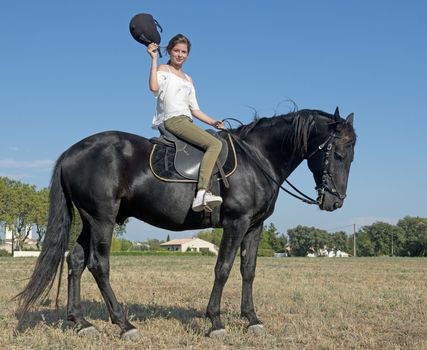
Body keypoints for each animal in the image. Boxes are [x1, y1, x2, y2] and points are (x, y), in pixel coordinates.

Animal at [15, 107, 358, 340]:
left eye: (351, 155)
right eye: (338, 154)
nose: (335, 202)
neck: (258, 159)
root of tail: (72, 152)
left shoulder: (254, 226)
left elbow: (248, 271)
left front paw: (252, 319)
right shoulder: (236, 223)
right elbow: (223, 269)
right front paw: (216, 322)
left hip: (89, 220)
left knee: (75, 260)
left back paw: (81, 322)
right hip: (102, 218)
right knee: (99, 264)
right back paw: (124, 324)